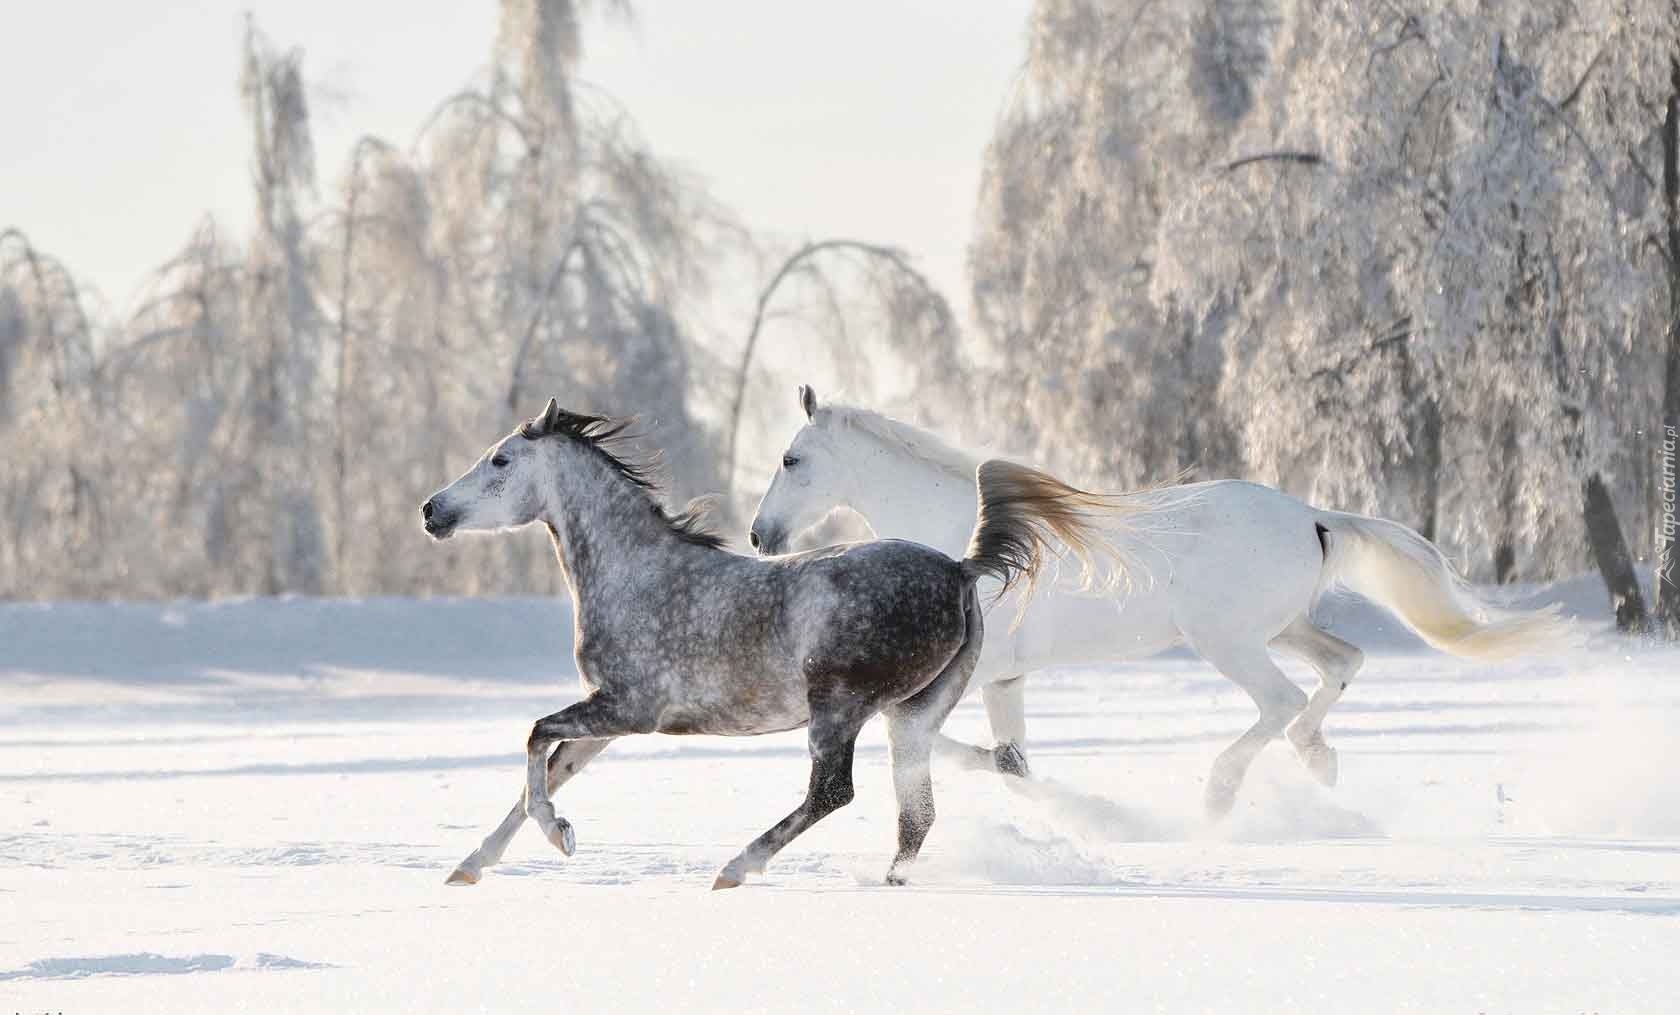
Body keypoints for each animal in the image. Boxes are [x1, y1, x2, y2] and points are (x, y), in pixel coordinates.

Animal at [426, 396, 1122, 887]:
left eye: (500, 460)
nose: (431, 511)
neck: (636, 572)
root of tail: (959, 569)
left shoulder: (628, 709)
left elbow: (535, 739)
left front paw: (560, 836)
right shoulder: (607, 719)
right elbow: (545, 773)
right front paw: (470, 866)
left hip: (836, 709)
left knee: (833, 792)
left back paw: (735, 869)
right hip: (913, 716)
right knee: (916, 814)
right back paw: (889, 880)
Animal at [752, 388, 1572, 816]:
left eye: (790, 458)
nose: (760, 535)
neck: (961, 544)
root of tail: (1313, 516)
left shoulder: (974, 676)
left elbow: (938, 743)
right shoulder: (1006, 679)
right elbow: (1010, 758)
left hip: (1228, 641)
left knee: (1279, 702)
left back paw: (1221, 790)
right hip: (1283, 628)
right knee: (1342, 664)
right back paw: (1319, 761)